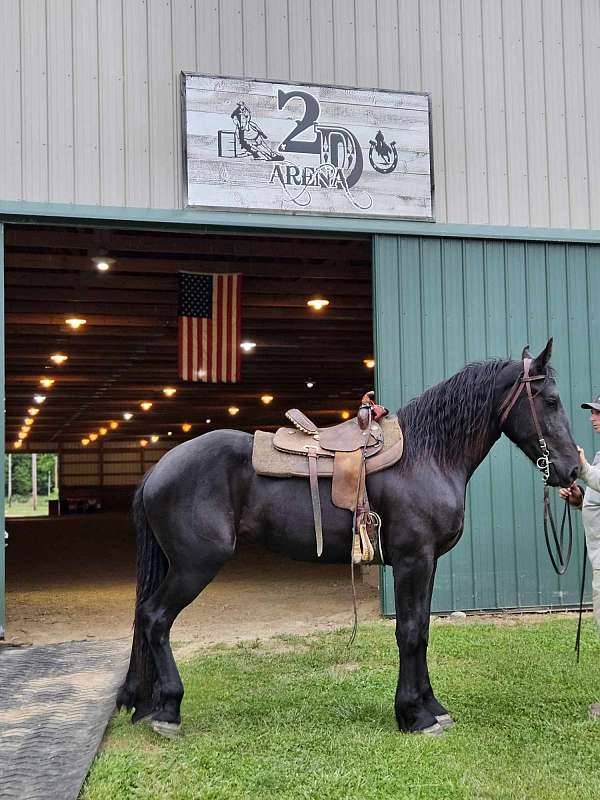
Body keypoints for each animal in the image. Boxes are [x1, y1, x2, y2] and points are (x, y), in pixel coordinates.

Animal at [115, 340, 580, 736]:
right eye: (550, 401)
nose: (573, 470)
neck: (427, 455)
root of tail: (159, 469)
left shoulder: (428, 562)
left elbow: (424, 629)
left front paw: (432, 706)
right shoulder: (413, 561)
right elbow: (410, 631)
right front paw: (414, 715)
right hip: (195, 565)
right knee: (156, 618)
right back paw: (168, 710)